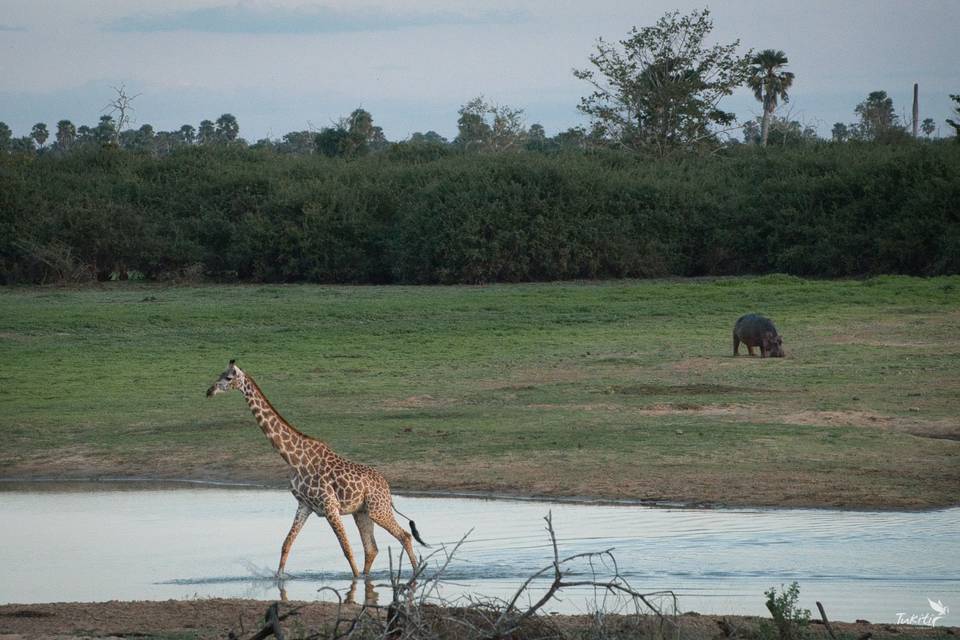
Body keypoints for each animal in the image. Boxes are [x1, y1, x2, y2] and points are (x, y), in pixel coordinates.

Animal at [207, 362, 428, 576]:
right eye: (219, 374)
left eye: (228, 377)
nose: (209, 391)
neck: (294, 459)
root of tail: (387, 488)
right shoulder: (304, 505)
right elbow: (286, 544)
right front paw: (278, 579)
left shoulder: (330, 506)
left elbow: (346, 549)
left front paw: (354, 581)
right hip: (362, 512)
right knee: (371, 548)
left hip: (377, 509)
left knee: (404, 536)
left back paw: (415, 574)